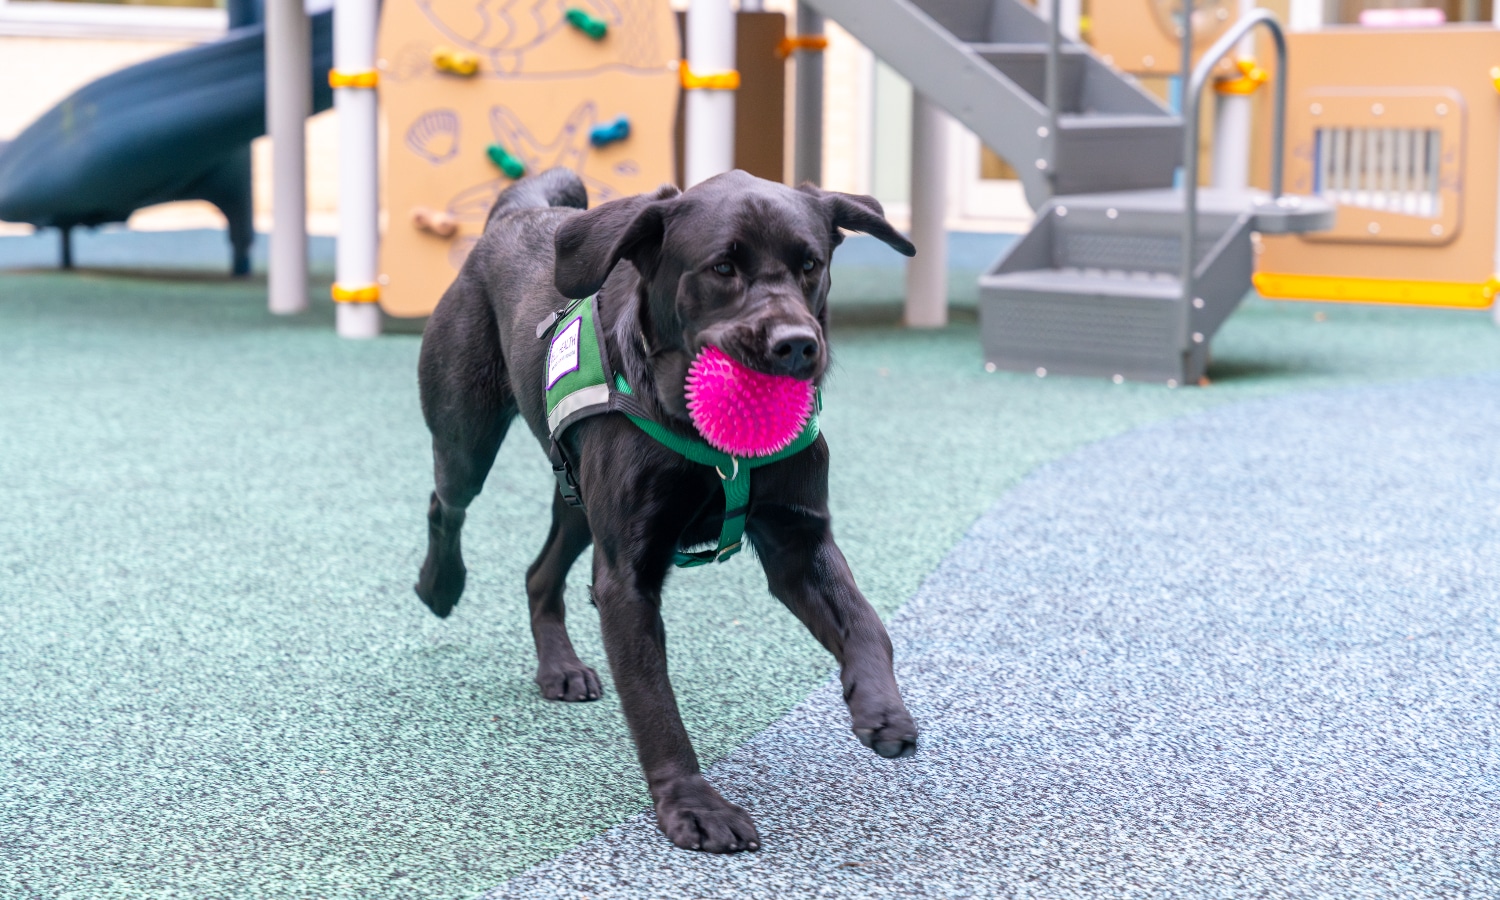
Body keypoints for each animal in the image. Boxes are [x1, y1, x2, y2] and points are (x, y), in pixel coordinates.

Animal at [417, 167, 918, 852]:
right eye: (723, 267)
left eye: (810, 264)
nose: (796, 346)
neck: (716, 444)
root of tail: (516, 216)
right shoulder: (627, 578)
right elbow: (655, 704)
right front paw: (692, 805)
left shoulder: (798, 541)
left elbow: (866, 622)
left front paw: (882, 707)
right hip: (466, 438)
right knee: (446, 503)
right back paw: (440, 584)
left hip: (580, 499)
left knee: (539, 572)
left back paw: (560, 667)